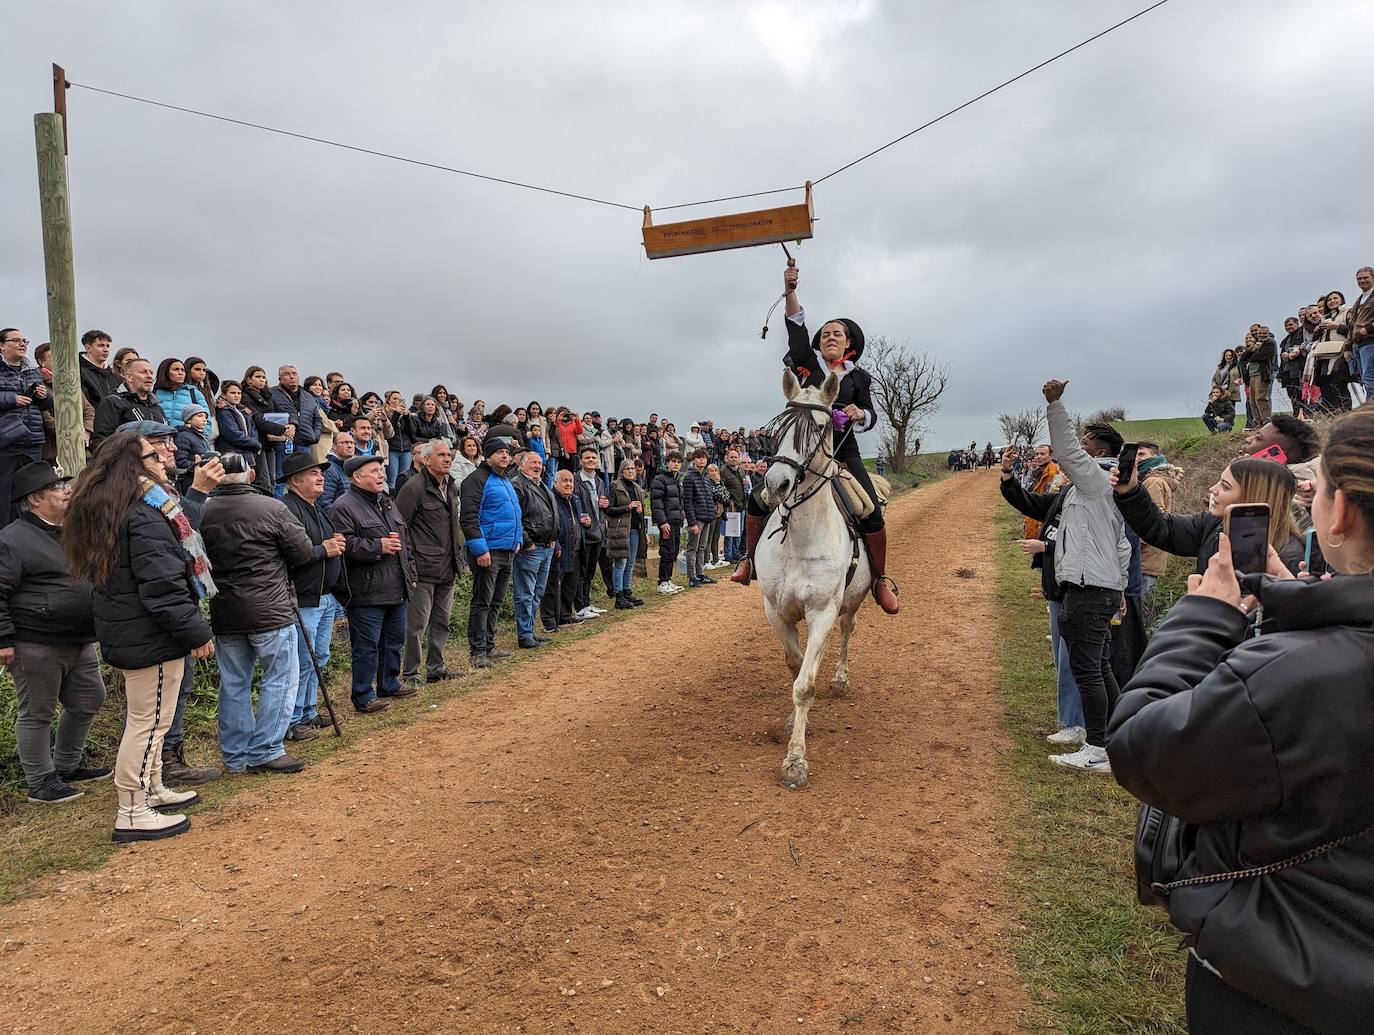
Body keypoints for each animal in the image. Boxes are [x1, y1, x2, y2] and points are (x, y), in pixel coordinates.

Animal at [752, 368, 868, 786]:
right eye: (778, 427)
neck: (799, 536)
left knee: (847, 631)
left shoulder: (822, 611)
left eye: (819, 427)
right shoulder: (775, 610)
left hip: (850, 602)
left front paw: (795, 761)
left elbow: (804, 685)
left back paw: (840, 679)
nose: (775, 485)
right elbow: (795, 664)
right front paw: (792, 723)